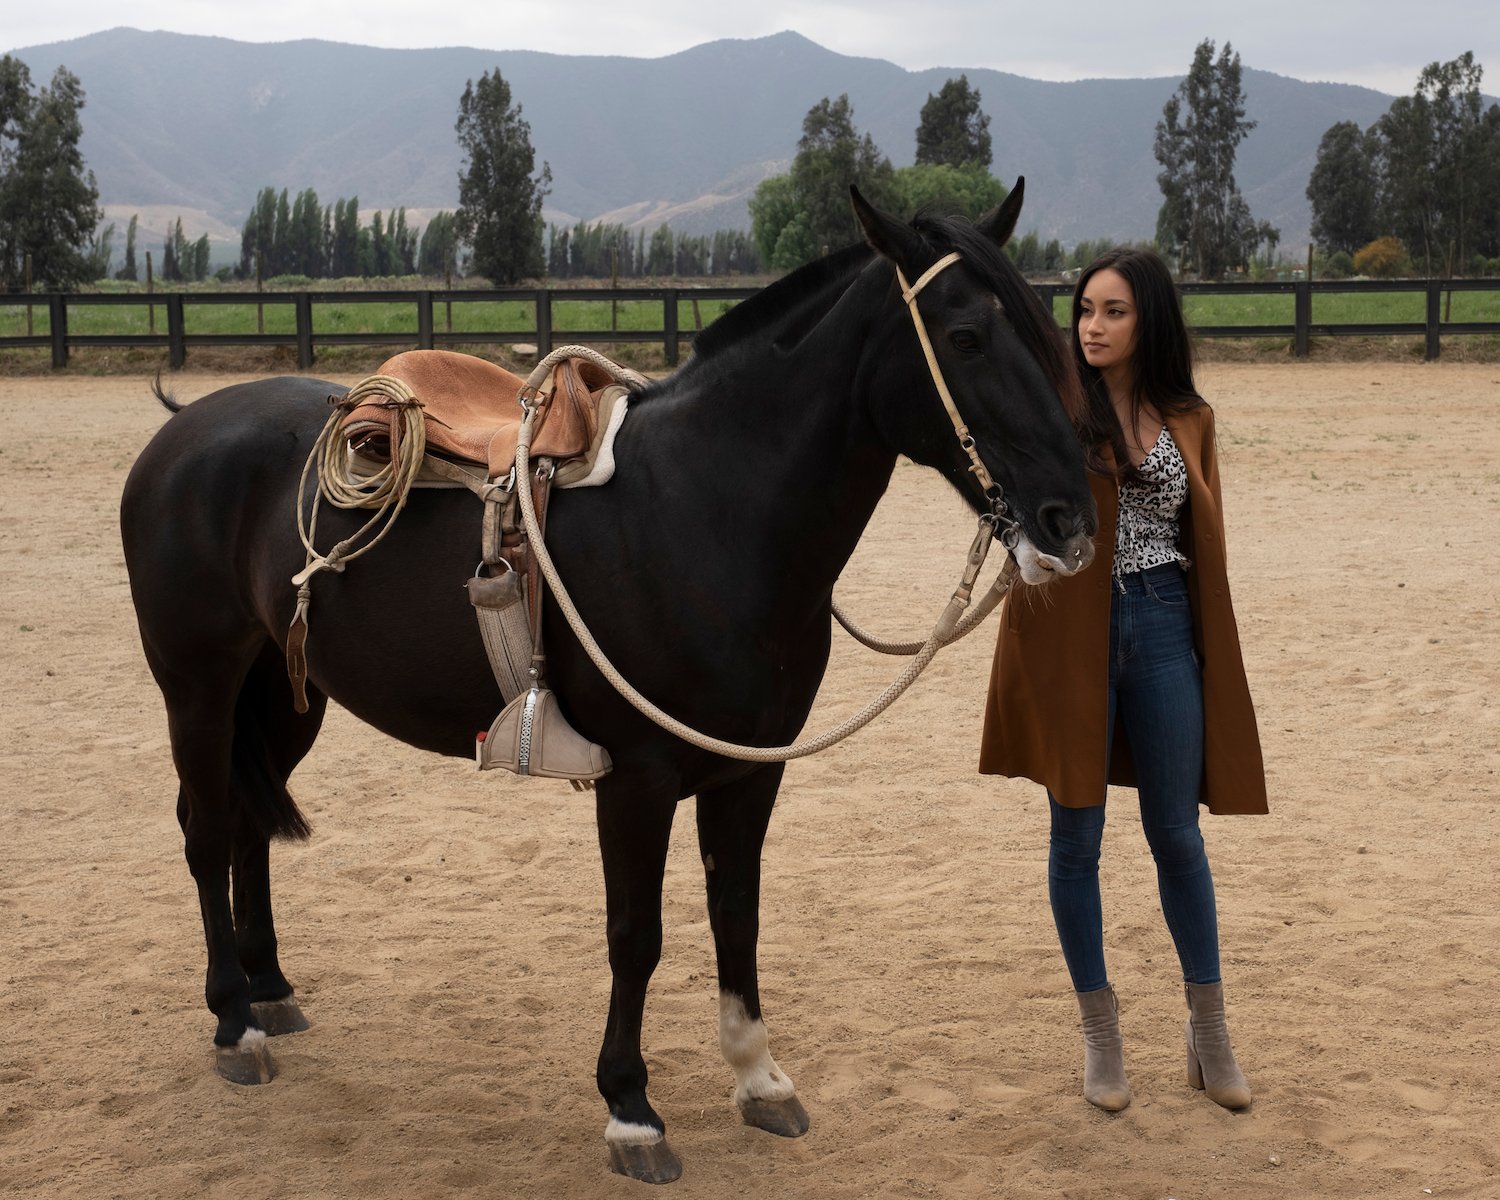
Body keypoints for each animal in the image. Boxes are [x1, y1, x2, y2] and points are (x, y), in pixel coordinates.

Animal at [120, 183, 1092, 1188]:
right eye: (967, 336)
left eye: (1047, 328)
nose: (1069, 516)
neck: (706, 507)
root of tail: (181, 429)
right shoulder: (639, 778)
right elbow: (639, 934)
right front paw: (631, 1111)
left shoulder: (750, 771)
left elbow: (736, 913)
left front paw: (759, 1079)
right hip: (198, 686)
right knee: (205, 830)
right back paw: (233, 1022)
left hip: (282, 694)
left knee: (248, 826)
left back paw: (271, 989)